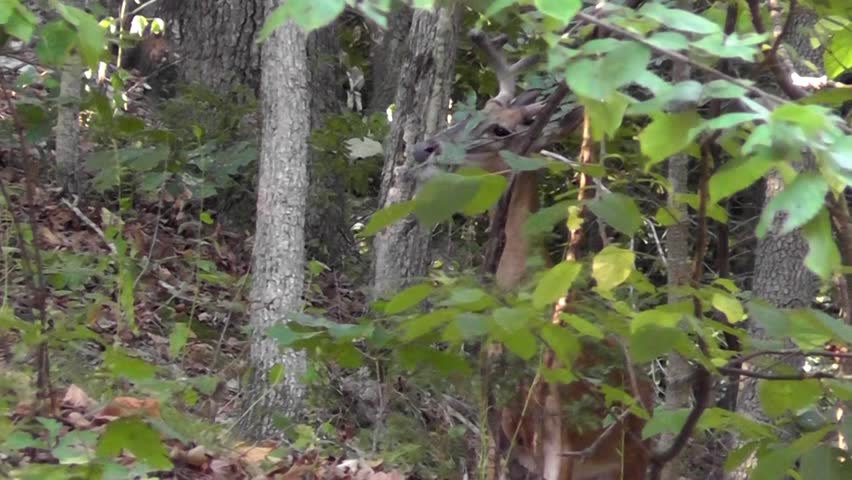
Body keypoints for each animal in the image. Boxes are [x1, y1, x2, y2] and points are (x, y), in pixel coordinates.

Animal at [412, 30, 653, 480]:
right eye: (477, 110)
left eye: (500, 130)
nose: (424, 148)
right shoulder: (496, 417)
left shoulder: (559, 437)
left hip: (626, 454)